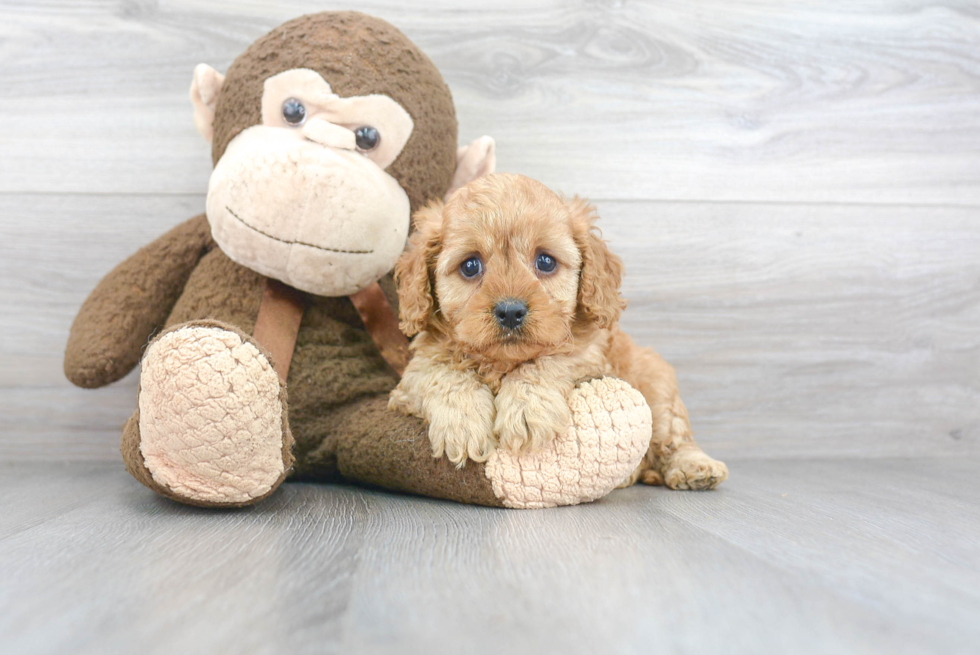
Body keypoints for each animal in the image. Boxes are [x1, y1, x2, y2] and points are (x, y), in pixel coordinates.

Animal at [390, 172, 728, 490]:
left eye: (545, 261)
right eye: (470, 266)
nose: (510, 311)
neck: (502, 363)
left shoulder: (589, 355)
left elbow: (549, 360)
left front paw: (526, 409)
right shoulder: (414, 372)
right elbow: (443, 371)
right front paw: (462, 422)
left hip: (657, 383)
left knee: (673, 435)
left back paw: (696, 467)